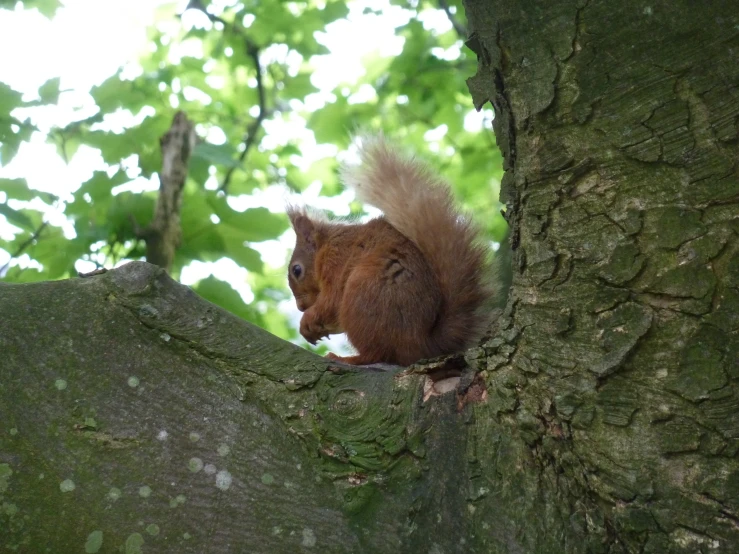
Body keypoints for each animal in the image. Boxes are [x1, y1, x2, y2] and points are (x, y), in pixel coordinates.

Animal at [286, 135, 494, 364]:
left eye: (296, 270)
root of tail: (418, 344)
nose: (300, 307)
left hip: (362, 295)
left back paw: (348, 359)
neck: (328, 243)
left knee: (377, 353)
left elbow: (331, 302)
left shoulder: (336, 261)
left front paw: (307, 320)